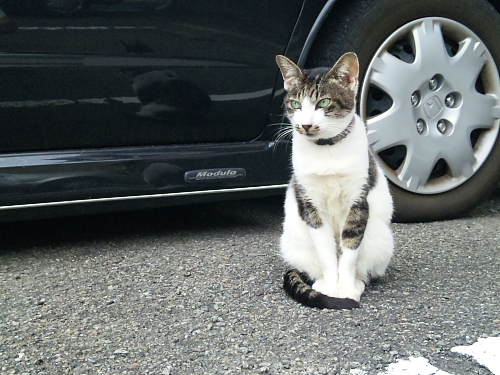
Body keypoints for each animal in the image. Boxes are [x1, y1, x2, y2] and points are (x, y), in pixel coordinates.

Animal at [274, 53, 394, 312]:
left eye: (324, 103)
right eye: (296, 105)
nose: (306, 125)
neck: (327, 151)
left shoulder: (358, 201)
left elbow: (349, 252)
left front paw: (346, 287)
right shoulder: (310, 204)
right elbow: (326, 252)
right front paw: (331, 286)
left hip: (380, 239)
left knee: (365, 267)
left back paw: (357, 283)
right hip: (294, 240)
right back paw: (320, 284)